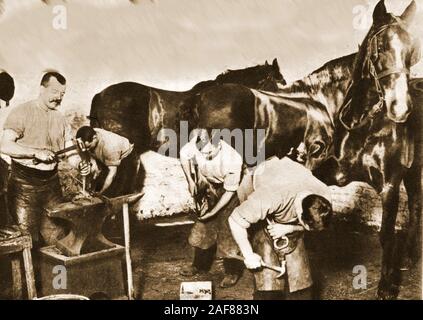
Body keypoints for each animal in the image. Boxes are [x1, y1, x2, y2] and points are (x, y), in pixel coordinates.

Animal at [278, 0, 423, 300]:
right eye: (380, 47)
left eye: (411, 50)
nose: (400, 108)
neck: (360, 125)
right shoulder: (320, 172)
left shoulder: (390, 184)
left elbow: (386, 234)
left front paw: (386, 285)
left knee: (416, 205)